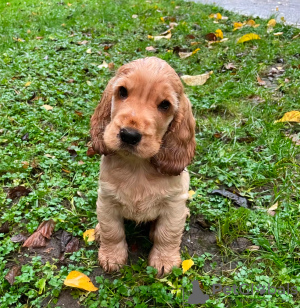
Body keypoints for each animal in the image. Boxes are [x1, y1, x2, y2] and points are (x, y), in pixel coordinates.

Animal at [90, 56, 196, 276]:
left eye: (165, 105)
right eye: (122, 91)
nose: (129, 135)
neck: (137, 167)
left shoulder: (174, 205)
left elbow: (167, 234)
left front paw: (164, 261)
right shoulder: (106, 200)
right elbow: (112, 231)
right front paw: (112, 257)